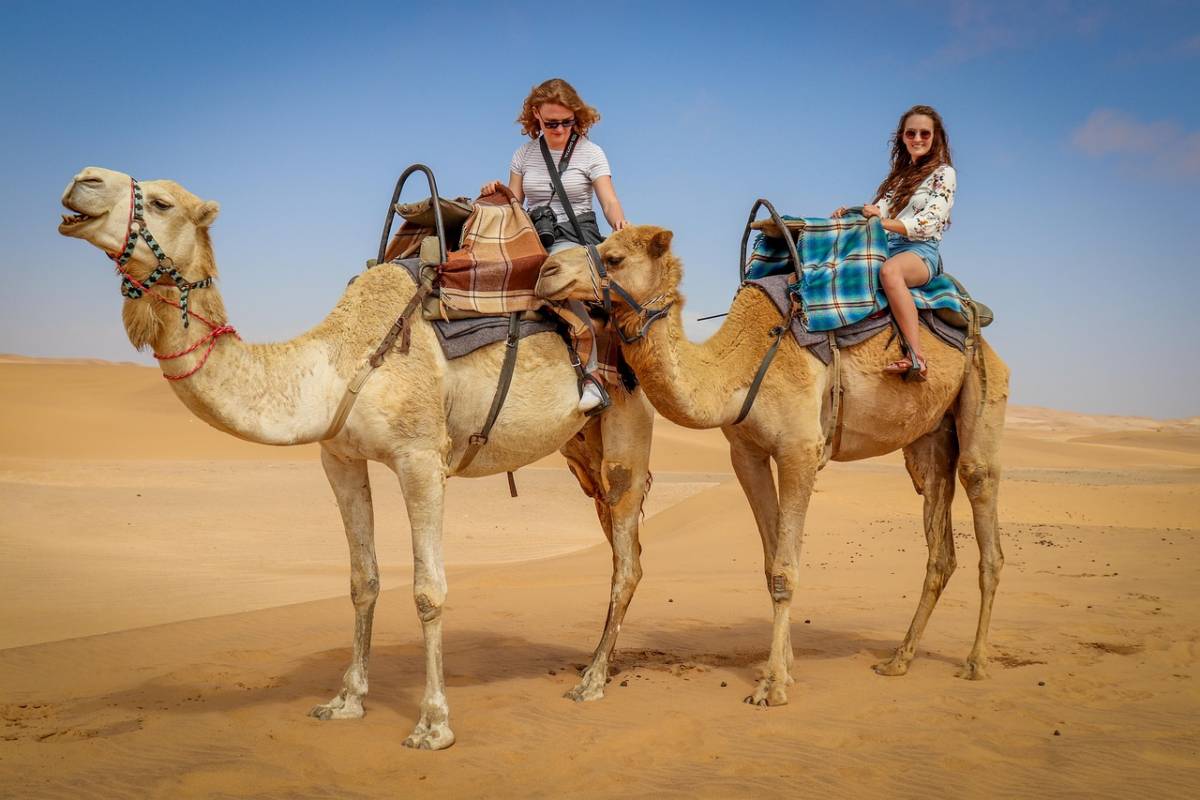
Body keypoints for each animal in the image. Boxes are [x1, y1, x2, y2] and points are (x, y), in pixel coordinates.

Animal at [57, 167, 656, 749]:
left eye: (161, 203)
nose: (82, 180)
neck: (336, 361)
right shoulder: (339, 459)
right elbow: (361, 580)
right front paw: (346, 700)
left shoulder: (421, 458)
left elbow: (427, 590)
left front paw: (433, 723)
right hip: (581, 448)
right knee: (620, 547)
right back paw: (596, 665)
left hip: (627, 424)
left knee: (626, 559)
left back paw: (592, 681)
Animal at [536, 225, 1009, 706]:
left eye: (612, 257)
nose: (546, 271)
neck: (738, 366)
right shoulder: (746, 454)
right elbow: (769, 565)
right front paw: (786, 669)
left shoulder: (800, 449)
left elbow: (784, 570)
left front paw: (773, 686)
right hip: (930, 440)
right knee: (939, 539)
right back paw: (899, 660)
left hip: (984, 394)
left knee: (982, 499)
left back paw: (976, 662)